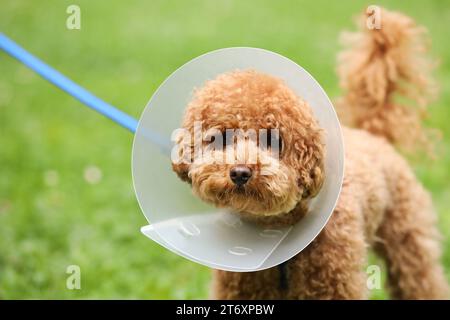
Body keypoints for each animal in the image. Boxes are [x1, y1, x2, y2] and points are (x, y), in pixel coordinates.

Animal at [172, 8, 450, 300]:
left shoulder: (338, 284)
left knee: (422, 279)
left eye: (273, 140)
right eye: (220, 138)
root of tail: (371, 134)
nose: (239, 173)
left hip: (407, 236)